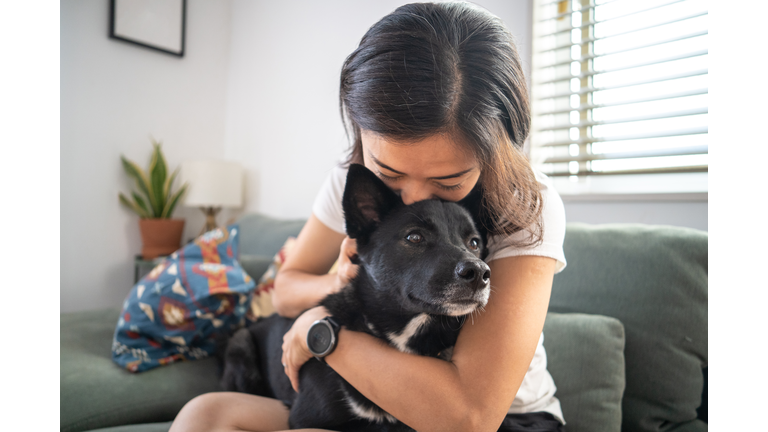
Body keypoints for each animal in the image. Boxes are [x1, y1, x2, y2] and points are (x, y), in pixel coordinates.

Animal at [219, 164, 488, 430]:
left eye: (474, 243)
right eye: (414, 237)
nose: (480, 273)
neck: (403, 333)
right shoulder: (307, 419)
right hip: (241, 346)